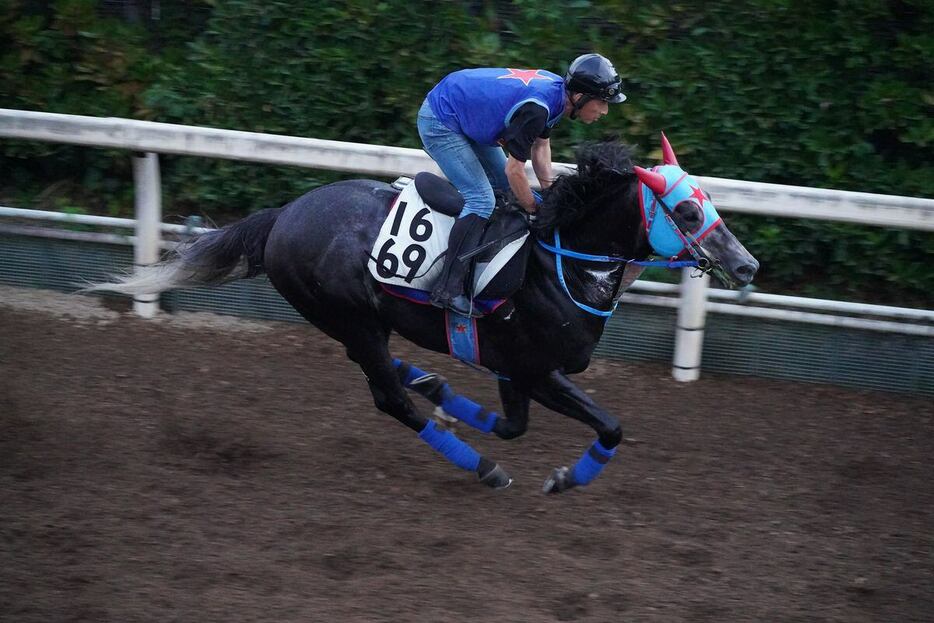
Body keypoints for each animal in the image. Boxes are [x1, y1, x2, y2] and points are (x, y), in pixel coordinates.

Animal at [89, 138, 760, 498]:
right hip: (350, 318)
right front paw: (564, 479)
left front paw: (441, 390)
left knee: (386, 375)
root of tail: (284, 216)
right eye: (687, 212)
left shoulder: (510, 367)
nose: (747, 265)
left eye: (711, 204)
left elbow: (512, 423)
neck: (563, 262)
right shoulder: (535, 369)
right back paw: (481, 468)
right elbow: (609, 427)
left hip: (363, 324)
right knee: (386, 397)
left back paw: (420, 380)